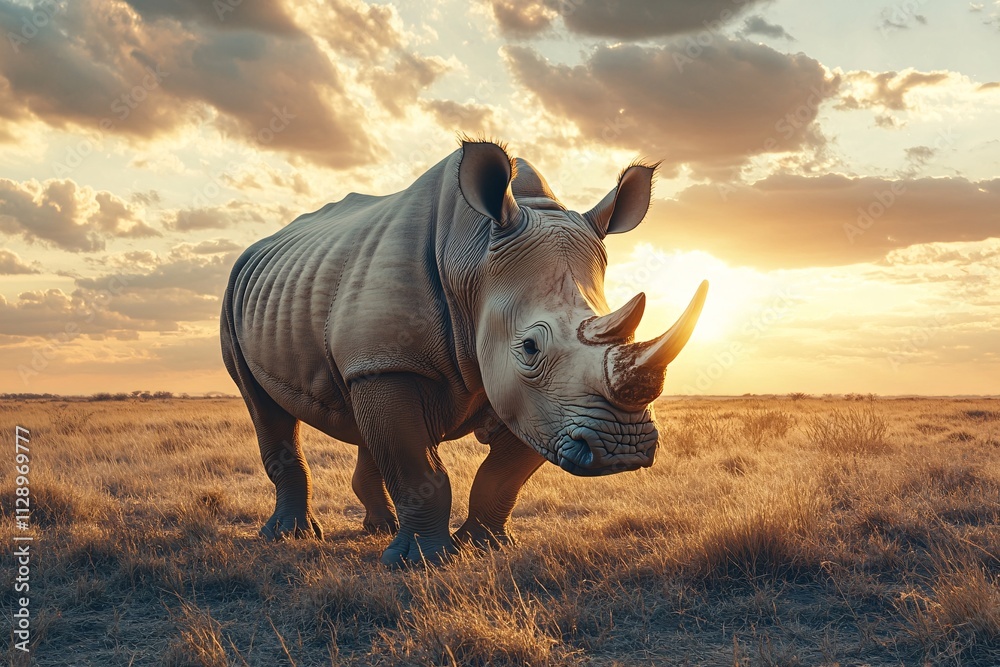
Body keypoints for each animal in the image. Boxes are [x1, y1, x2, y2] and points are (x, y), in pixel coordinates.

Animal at [221, 140, 707, 566]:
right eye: (530, 347)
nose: (623, 449)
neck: (472, 260)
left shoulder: (540, 405)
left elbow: (502, 474)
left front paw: (486, 545)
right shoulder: (392, 363)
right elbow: (419, 470)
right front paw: (422, 562)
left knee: (361, 417)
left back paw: (379, 528)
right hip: (235, 296)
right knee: (264, 407)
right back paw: (291, 536)